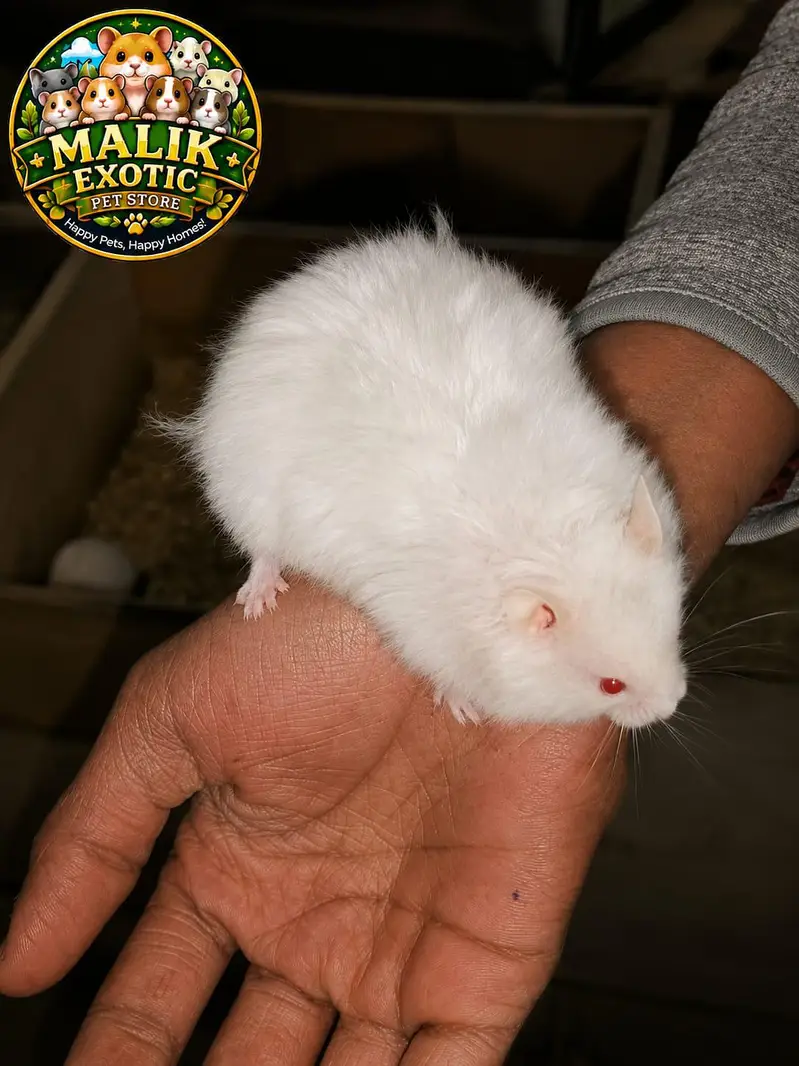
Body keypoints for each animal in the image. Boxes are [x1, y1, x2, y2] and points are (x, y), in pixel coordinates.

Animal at [177, 216, 688, 731]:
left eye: (673, 635)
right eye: (611, 685)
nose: (675, 704)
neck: (555, 541)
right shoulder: (425, 631)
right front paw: (464, 712)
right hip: (243, 483)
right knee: (261, 548)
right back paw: (258, 601)